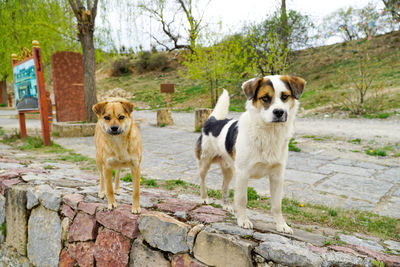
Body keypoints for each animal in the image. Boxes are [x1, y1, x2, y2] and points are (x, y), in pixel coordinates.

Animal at [195, 75, 304, 234]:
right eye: (265, 98)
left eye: (285, 96)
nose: (279, 112)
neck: (268, 133)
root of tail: (212, 120)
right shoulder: (243, 174)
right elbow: (242, 200)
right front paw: (243, 220)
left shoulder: (277, 176)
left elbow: (277, 205)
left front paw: (281, 225)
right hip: (205, 163)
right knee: (202, 180)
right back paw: (204, 198)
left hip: (229, 170)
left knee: (224, 186)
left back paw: (226, 205)